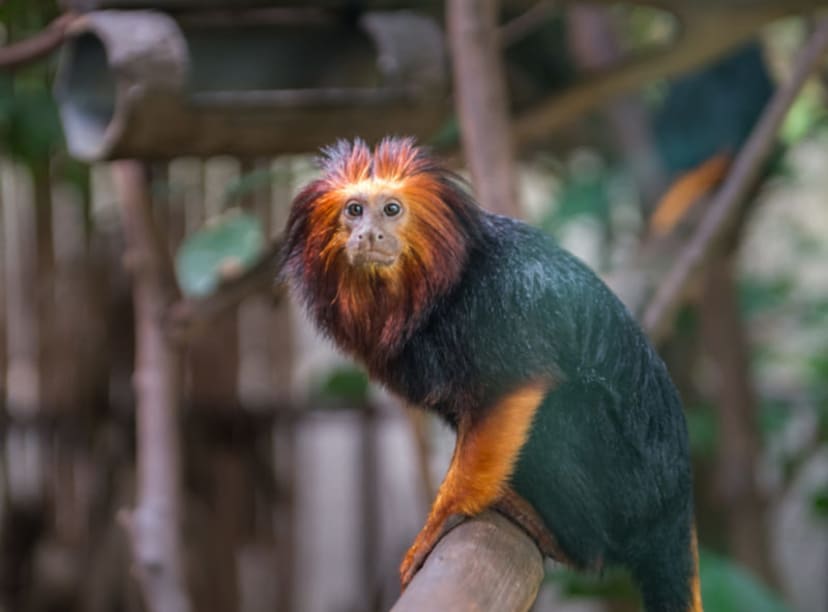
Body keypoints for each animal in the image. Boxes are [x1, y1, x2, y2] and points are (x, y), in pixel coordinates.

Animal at [282, 136, 700, 608]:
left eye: (391, 210)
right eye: (354, 210)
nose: (369, 234)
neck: (440, 289)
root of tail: (675, 506)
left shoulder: (504, 306)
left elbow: (512, 390)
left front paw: (443, 517)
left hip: (631, 494)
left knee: (565, 408)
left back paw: (570, 543)